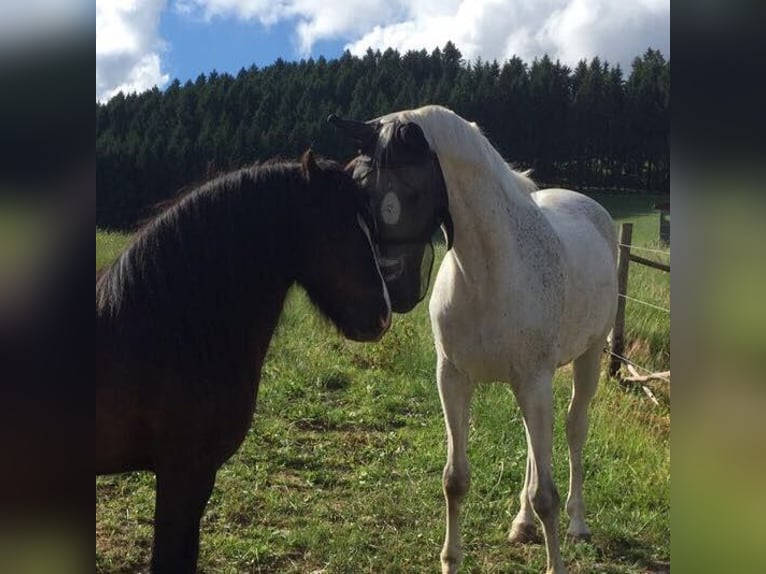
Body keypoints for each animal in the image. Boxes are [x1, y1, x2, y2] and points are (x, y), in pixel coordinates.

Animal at [332, 104, 620, 574]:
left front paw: (554, 560)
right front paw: (451, 560)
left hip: (587, 359)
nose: (392, 291)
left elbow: (547, 494)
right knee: (533, 446)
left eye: (409, 189)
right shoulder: (453, 379)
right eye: (356, 186)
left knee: (575, 430)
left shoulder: (535, 381)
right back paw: (521, 524)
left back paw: (578, 523)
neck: (489, 272)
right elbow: (456, 480)